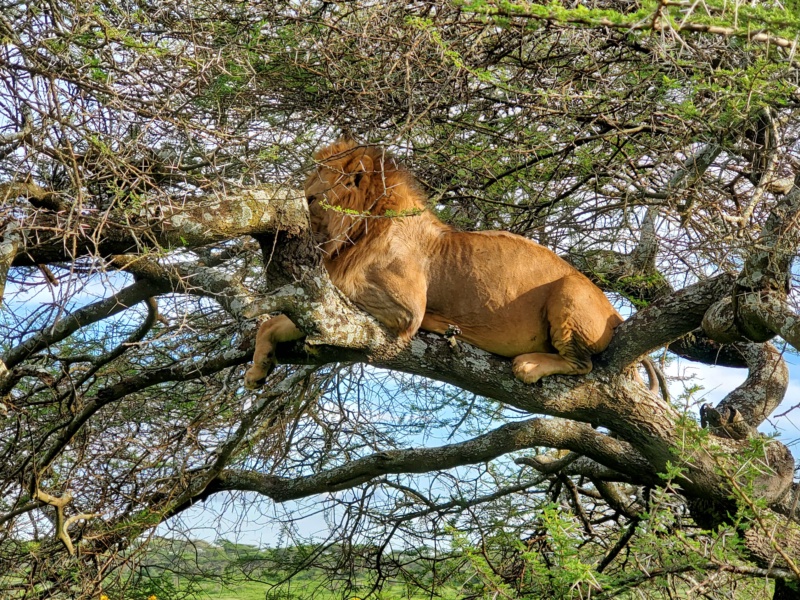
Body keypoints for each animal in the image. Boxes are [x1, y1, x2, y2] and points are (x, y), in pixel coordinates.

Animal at [244, 140, 624, 389]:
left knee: (582, 364)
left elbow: (283, 317)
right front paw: (259, 368)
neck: (360, 230)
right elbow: (280, 321)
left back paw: (531, 365)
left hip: (570, 290)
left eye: (310, 199)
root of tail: (615, 314)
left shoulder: (404, 310)